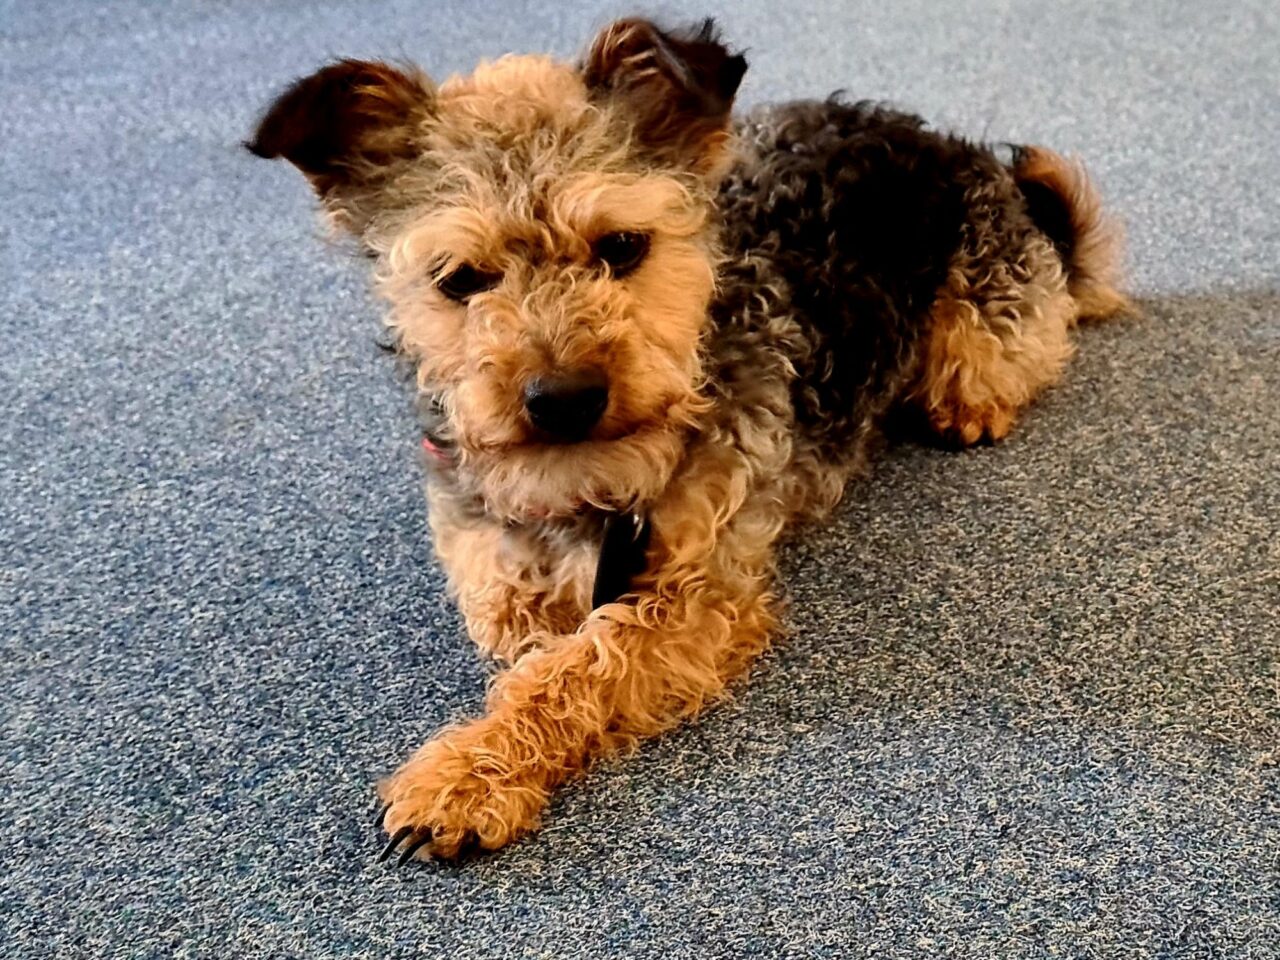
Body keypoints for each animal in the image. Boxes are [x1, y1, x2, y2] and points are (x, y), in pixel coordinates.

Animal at [248, 17, 1126, 863]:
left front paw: (466, 777)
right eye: (459, 279)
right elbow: (518, 622)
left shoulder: (702, 594)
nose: (565, 400)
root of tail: (952, 147)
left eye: (622, 245)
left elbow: (579, 665)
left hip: (987, 320)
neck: (588, 493)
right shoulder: (488, 552)